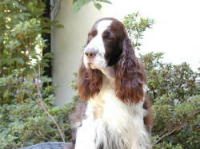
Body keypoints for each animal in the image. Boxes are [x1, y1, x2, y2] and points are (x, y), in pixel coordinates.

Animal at [71, 17, 152, 149]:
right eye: (90, 36)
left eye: (109, 37)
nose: (88, 53)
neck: (109, 81)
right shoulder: (90, 122)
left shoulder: (136, 125)